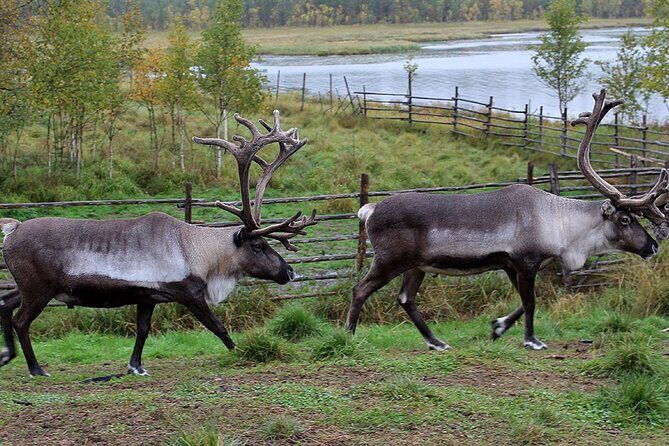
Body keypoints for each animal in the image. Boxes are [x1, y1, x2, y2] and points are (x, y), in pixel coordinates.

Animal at [0, 110, 316, 377]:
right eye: (258, 246)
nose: (289, 271)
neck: (199, 252)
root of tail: (12, 230)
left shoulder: (146, 296)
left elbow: (142, 331)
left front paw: (135, 366)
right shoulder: (188, 293)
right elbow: (217, 326)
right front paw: (240, 353)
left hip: (30, 286)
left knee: (5, 303)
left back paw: (7, 355)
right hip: (39, 289)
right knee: (21, 321)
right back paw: (36, 369)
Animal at [347, 90, 669, 351]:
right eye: (625, 219)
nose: (653, 246)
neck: (560, 226)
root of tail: (369, 210)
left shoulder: (511, 265)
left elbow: (523, 302)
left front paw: (498, 327)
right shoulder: (524, 261)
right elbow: (532, 302)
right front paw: (532, 340)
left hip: (417, 265)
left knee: (405, 298)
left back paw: (437, 342)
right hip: (390, 259)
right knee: (360, 289)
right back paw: (348, 336)